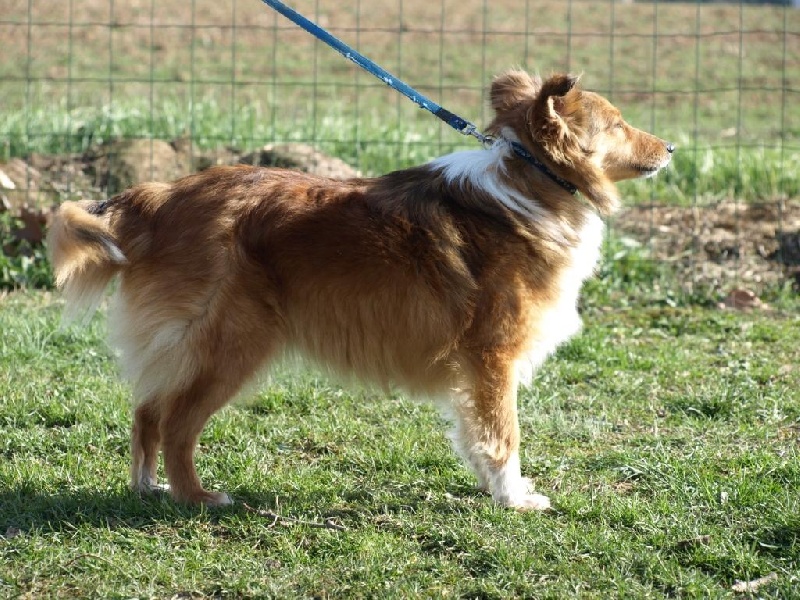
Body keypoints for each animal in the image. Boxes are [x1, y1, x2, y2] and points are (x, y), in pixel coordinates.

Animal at [48, 70, 676, 510]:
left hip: (193, 347)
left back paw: (147, 488)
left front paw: (492, 489)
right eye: (617, 123)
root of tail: (159, 196)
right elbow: (503, 434)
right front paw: (514, 498)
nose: (672, 148)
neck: (531, 183)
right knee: (176, 422)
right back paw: (198, 498)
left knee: (147, 410)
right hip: (231, 344)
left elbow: (476, 433)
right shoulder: (492, 356)